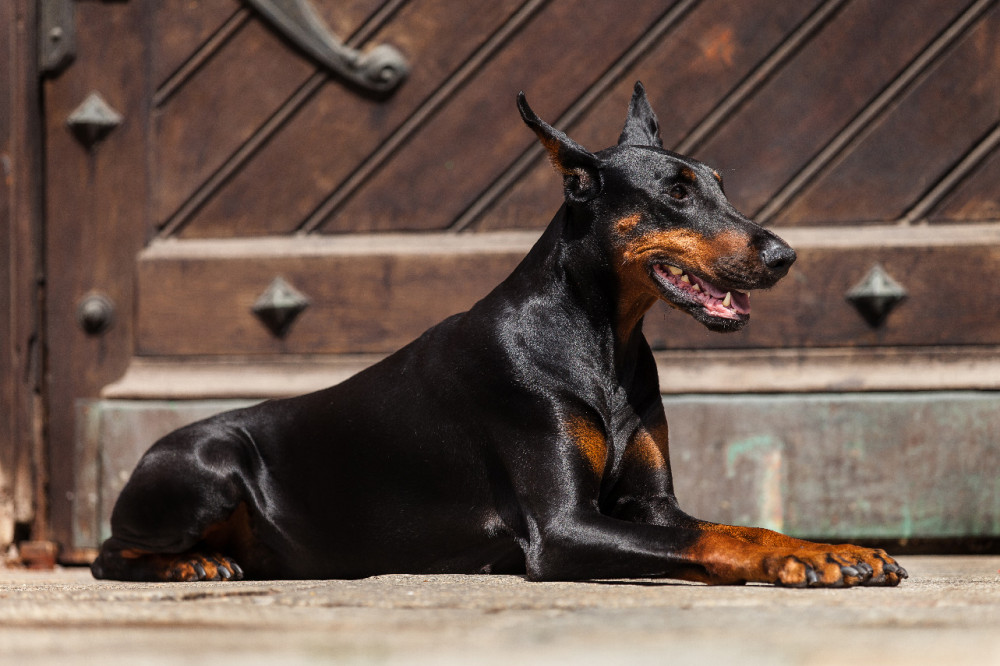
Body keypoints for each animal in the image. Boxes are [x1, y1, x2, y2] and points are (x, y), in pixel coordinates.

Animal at [92, 83, 908, 588]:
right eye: (675, 193)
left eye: (718, 183)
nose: (784, 256)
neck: (602, 341)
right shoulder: (564, 526)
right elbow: (712, 540)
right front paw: (799, 565)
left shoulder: (652, 507)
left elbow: (743, 527)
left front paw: (834, 551)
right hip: (209, 463)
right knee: (106, 552)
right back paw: (188, 565)